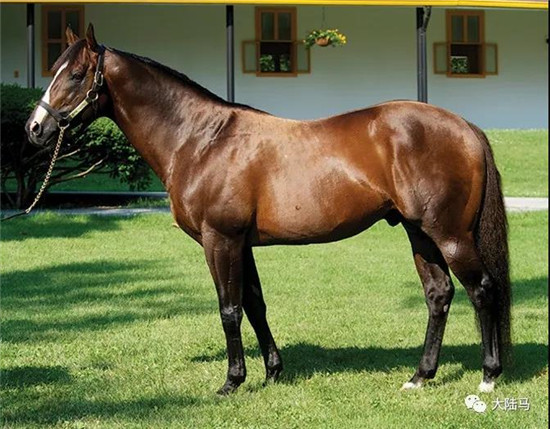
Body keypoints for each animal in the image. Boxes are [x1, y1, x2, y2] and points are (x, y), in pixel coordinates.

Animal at [26, 24, 511, 395]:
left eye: (76, 74)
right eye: (55, 70)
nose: (35, 128)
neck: (202, 139)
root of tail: (464, 126)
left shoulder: (219, 240)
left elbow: (229, 309)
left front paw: (231, 382)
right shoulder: (241, 244)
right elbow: (255, 304)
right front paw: (273, 372)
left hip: (449, 234)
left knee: (482, 290)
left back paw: (488, 376)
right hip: (419, 233)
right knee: (439, 295)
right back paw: (420, 376)